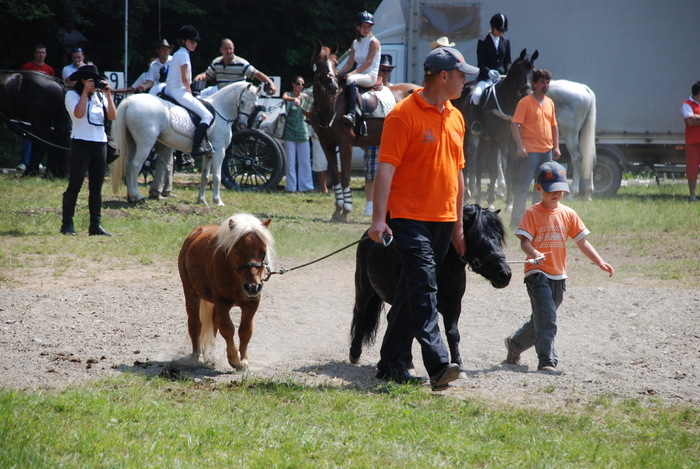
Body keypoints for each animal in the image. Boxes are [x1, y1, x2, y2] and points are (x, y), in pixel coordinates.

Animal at [111, 81, 260, 205]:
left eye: (254, 105)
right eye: (242, 101)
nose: (242, 125)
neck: (220, 112)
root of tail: (130, 100)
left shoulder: (208, 154)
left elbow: (205, 176)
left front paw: (202, 200)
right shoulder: (219, 152)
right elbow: (217, 177)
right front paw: (218, 201)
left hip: (132, 144)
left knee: (128, 165)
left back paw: (131, 197)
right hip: (145, 144)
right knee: (136, 166)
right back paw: (138, 196)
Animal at [178, 212, 274, 370]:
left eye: (263, 252)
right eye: (237, 251)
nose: (252, 287)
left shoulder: (252, 303)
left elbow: (245, 330)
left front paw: (243, 359)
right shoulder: (221, 302)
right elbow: (227, 329)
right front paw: (234, 358)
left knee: (213, 325)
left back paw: (209, 355)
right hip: (191, 293)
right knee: (195, 324)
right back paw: (197, 355)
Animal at [310, 41, 418, 221]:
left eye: (335, 64)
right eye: (319, 63)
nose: (333, 87)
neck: (331, 105)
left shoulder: (345, 143)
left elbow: (345, 176)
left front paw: (345, 211)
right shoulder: (327, 144)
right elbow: (336, 174)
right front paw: (337, 211)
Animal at [352, 203, 512, 374]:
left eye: (498, 238)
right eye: (477, 240)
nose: (505, 274)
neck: (443, 271)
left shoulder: (454, 306)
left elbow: (453, 333)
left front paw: (459, 366)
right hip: (364, 291)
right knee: (361, 314)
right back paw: (356, 353)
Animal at [456, 49, 540, 207]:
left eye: (533, 72)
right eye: (519, 71)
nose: (527, 94)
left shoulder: (512, 141)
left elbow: (510, 171)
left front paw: (509, 203)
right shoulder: (496, 138)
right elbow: (494, 170)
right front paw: (491, 201)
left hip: (484, 139)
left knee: (479, 163)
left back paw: (477, 199)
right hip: (468, 134)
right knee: (467, 160)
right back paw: (466, 196)